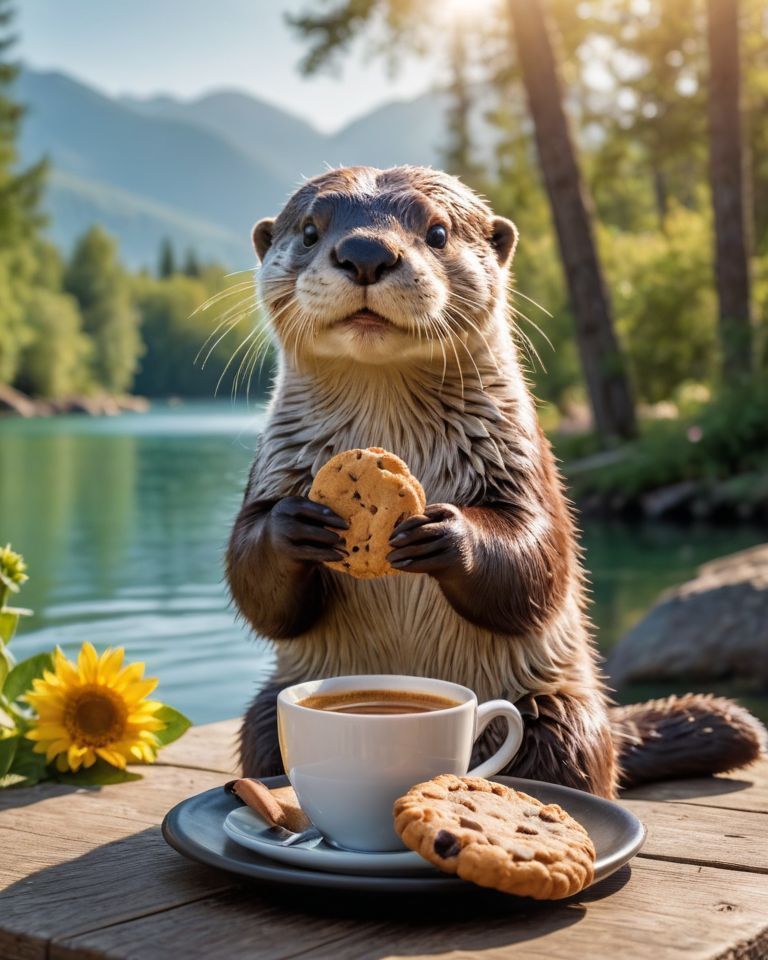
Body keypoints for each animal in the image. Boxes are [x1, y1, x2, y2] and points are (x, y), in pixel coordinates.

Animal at [227, 165, 765, 798]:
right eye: (310, 230)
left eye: (436, 232)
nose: (365, 253)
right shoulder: (273, 465)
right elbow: (257, 585)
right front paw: (295, 527)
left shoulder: (525, 462)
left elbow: (539, 560)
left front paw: (445, 532)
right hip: (269, 707)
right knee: (264, 732)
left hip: (560, 712)